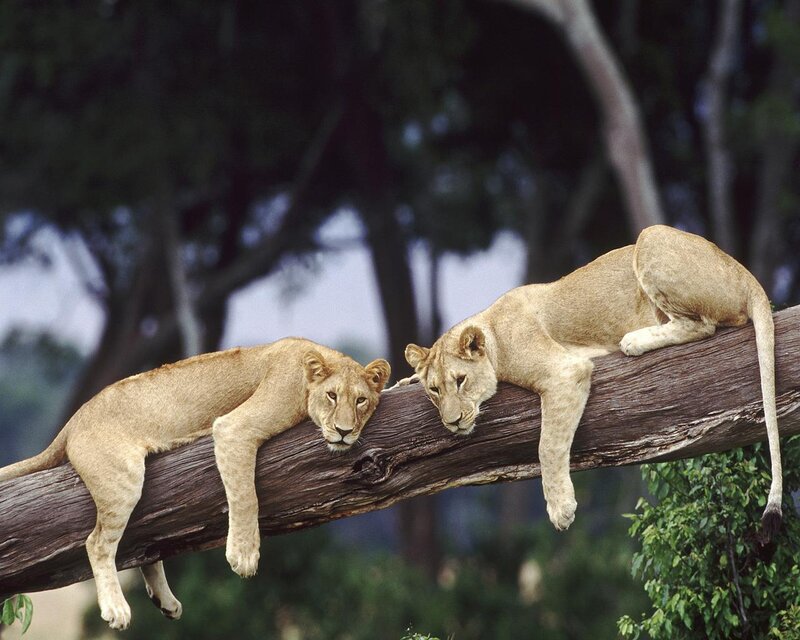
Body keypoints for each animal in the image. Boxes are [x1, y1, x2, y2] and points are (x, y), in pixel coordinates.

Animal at [0, 338, 390, 630]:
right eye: (332, 396)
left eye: (361, 400)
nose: (344, 431)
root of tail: (73, 421)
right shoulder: (234, 428)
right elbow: (246, 496)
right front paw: (243, 556)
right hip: (123, 478)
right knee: (97, 542)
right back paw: (116, 609)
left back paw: (166, 602)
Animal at [403, 225, 781, 537]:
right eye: (434, 390)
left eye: (461, 381)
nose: (452, 423)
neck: (492, 329)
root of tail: (745, 273)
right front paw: (403, 381)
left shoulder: (564, 371)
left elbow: (547, 445)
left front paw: (560, 509)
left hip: (651, 237)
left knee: (703, 325)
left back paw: (634, 341)